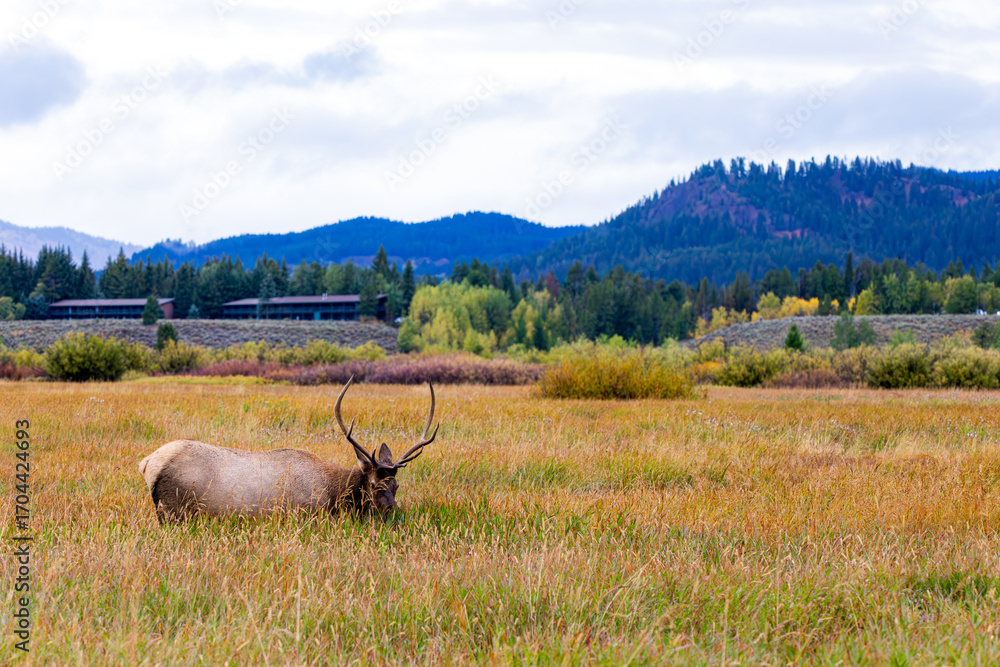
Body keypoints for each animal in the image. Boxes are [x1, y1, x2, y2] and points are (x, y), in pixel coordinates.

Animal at [138, 376, 438, 524]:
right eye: (374, 484)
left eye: (397, 485)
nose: (391, 511)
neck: (335, 493)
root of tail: (147, 463)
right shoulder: (306, 513)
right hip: (173, 510)